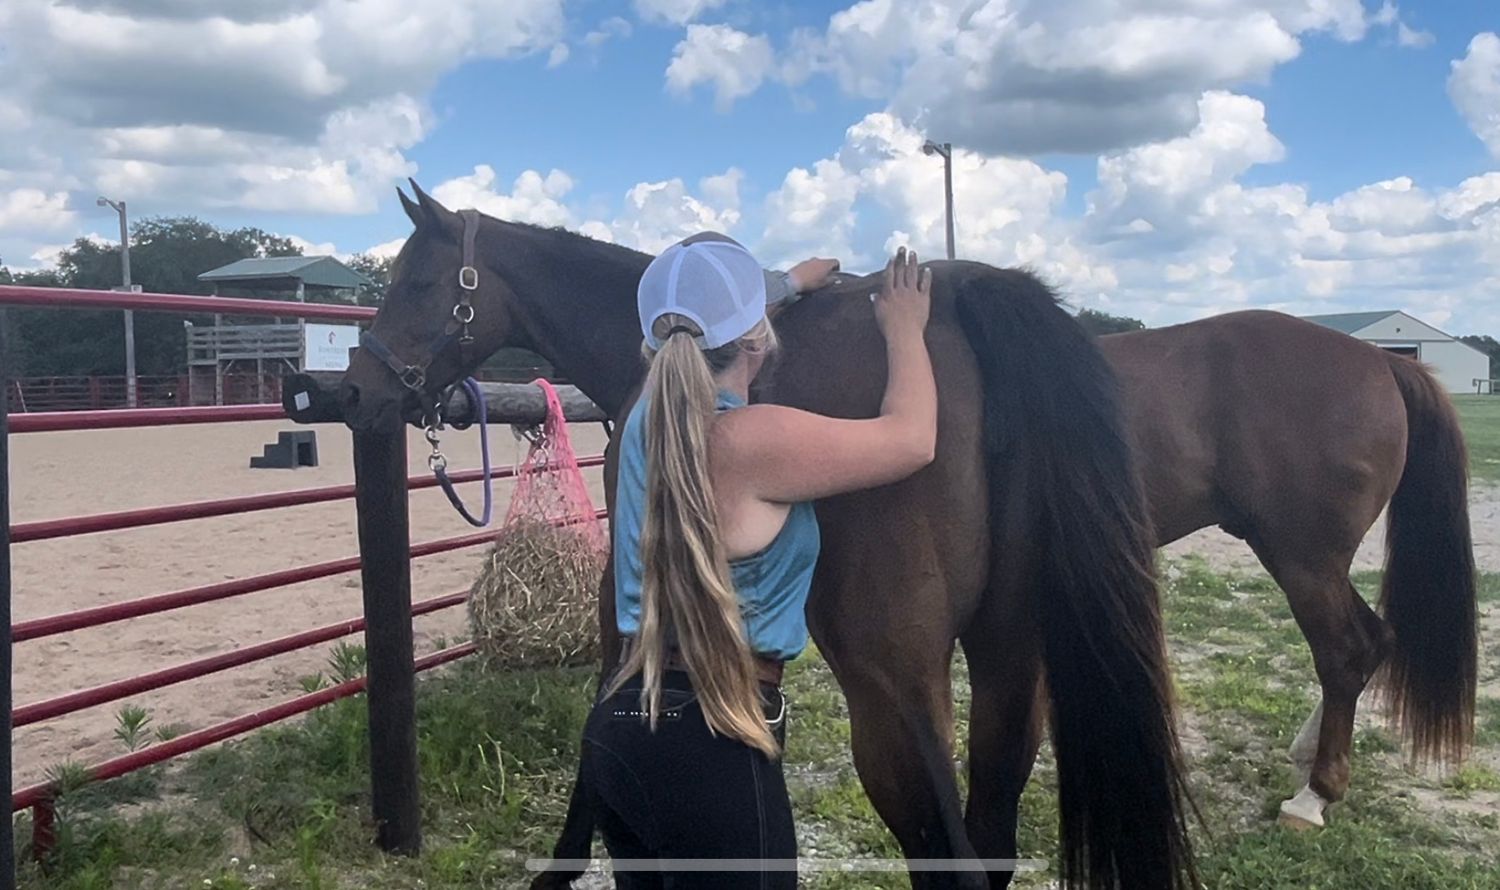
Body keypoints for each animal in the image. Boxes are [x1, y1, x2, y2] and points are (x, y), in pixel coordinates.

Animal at [1100, 314, 1477, 827]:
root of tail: (1382, 360)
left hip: (1304, 563)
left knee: (1343, 653)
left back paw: (1314, 796)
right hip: (1309, 563)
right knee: (1375, 640)